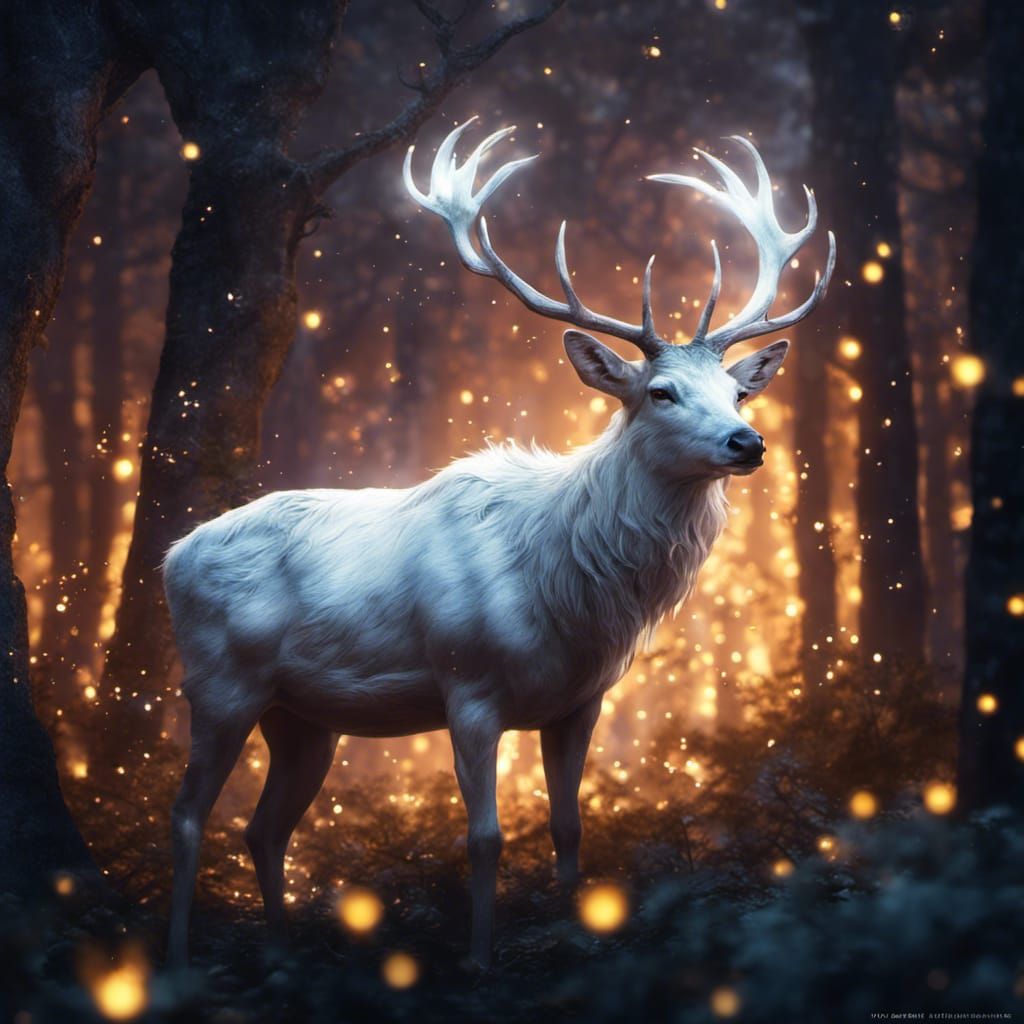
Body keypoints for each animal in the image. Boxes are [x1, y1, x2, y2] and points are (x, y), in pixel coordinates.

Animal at [164, 118, 835, 969]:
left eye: (738, 392)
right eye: (660, 392)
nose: (747, 442)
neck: (567, 593)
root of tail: (171, 556)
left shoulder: (582, 699)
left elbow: (569, 826)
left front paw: (578, 939)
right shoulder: (469, 685)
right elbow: (483, 837)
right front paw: (480, 958)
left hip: (303, 717)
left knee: (262, 827)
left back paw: (281, 953)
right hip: (219, 683)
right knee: (189, 816)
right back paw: (179, 954)